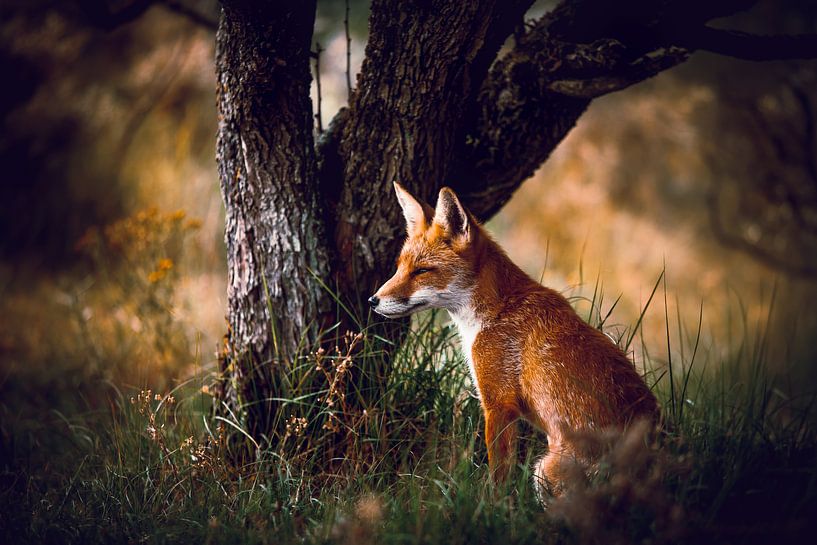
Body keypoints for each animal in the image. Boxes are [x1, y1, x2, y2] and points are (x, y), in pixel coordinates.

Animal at [369, 182, 660, 495]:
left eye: (421, 271)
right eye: (399, 266)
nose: (373, 300)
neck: (494, 312)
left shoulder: (498, 403)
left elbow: (499, 475)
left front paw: (491, 505)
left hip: (544, 471)